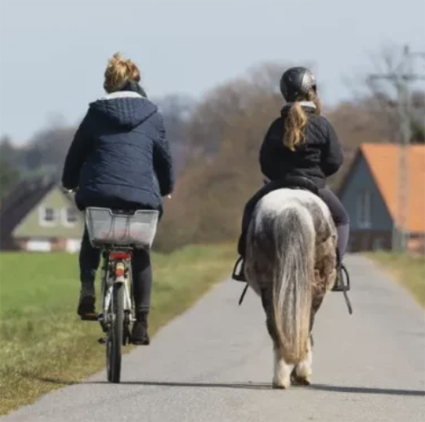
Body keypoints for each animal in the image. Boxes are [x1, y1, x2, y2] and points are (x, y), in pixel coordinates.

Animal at [243, 188, 336, 390]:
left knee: (279, 327)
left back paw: (282, 377)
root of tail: (293, 208)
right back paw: (292, 375)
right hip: (314, 286)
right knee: (302, 326)